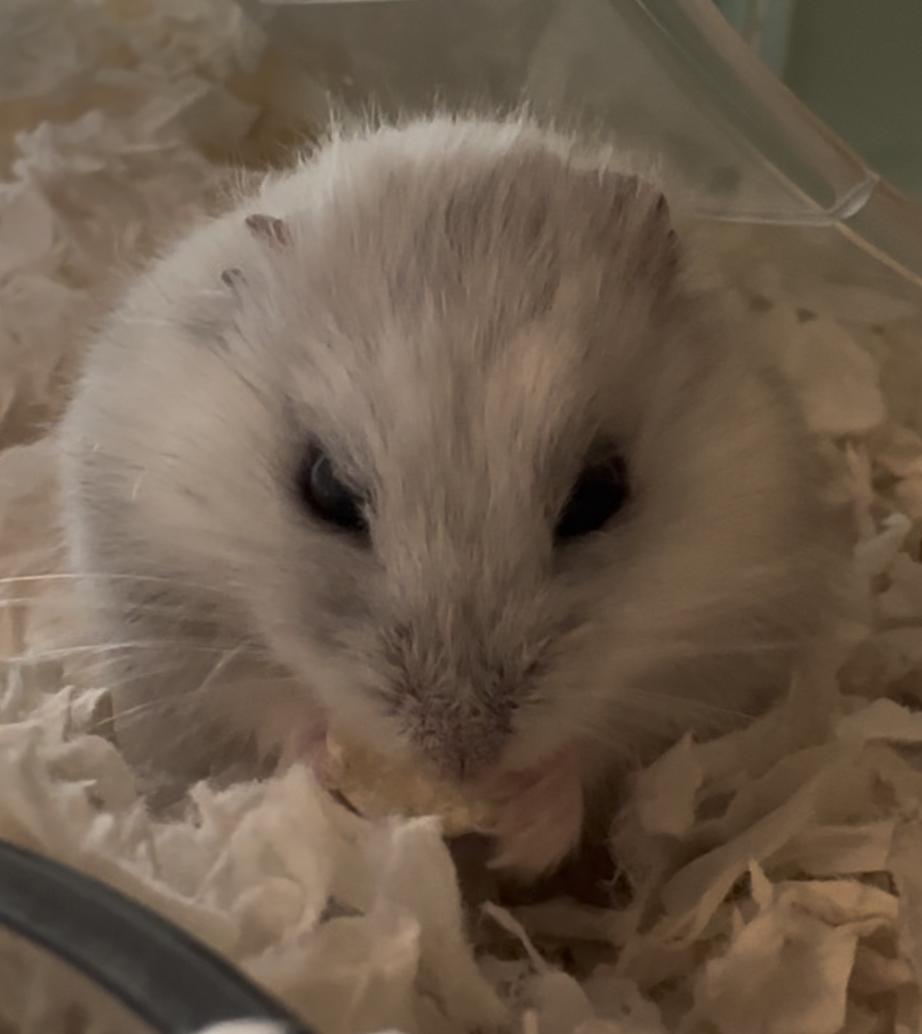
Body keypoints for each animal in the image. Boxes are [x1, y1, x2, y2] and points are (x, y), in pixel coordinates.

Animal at [58, 114, 845, 875]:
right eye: (326, 488)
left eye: (600, 494)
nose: (463, 759)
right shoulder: (164, 600)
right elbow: (264, 701)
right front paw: (325, 774)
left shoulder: (718, 647)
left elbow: (609, 744)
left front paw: (526, 835)